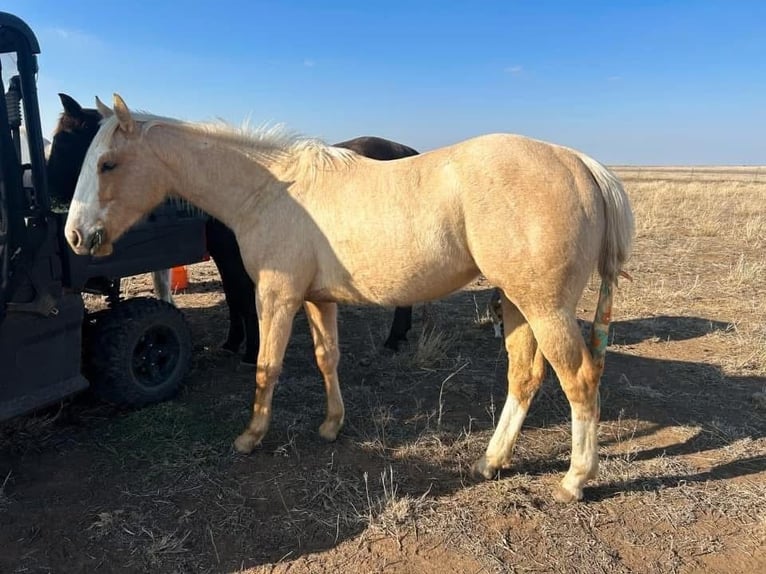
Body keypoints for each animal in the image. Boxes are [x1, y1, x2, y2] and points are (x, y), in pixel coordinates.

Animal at [48, 94, 420, 364]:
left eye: (67, 141)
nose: (71, 232)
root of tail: (407, 150)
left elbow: (242, 297)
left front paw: (251, 349)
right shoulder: (225, 257)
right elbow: (232, 298)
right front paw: (233, 342)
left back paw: (393, 338)